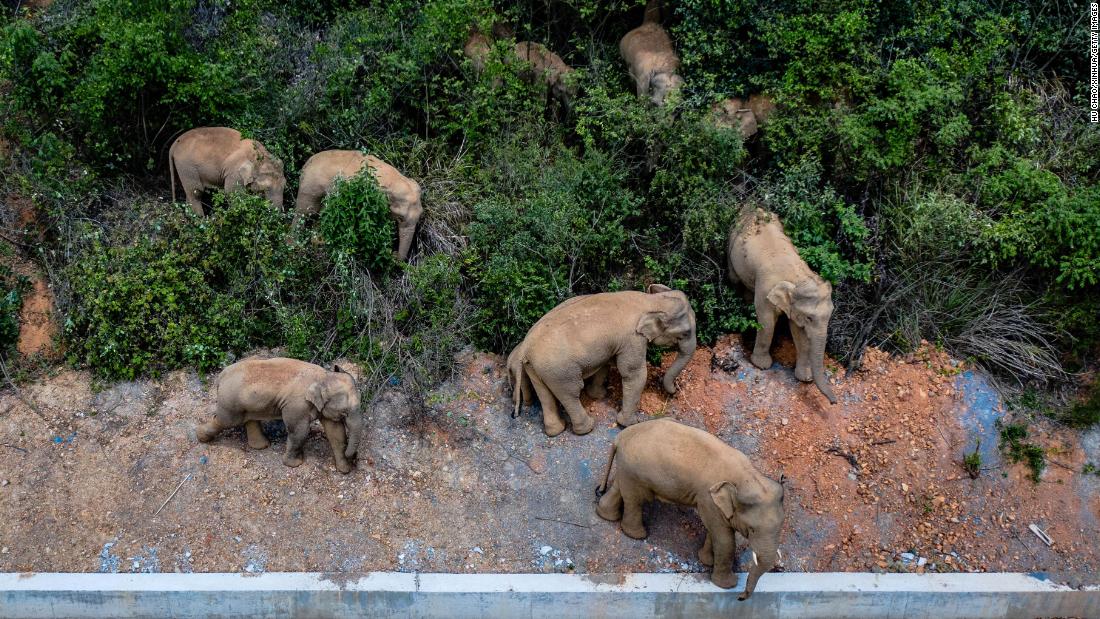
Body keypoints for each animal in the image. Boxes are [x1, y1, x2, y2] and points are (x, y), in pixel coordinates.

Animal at [195, 358, 363, 474]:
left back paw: (262, 446)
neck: (323, 376)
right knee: (225, 420)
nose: (354, 458)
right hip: (230, 401)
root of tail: (221, 375)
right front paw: (295, 464)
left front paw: (344, 470)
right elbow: (300, 431)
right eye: (345, 412)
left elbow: (336, 432)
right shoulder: (296, 405)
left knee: (249, 419)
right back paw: (201, 437)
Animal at [294, 152, 422, 263]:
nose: (393, 253)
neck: (396, 179)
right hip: (310, 186)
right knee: (303, 213)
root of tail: (306, 163)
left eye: (420, 215)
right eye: (400, 218)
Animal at [506, 283, 695, 435]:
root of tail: (525, 348)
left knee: (545, 394)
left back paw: (555, 431)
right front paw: (630, 423)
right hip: (559, 371)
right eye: (686, 333)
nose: (675, 391)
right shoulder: (632, 339)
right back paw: (587, 428)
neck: (651, 300)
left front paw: (599, 395)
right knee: (571, 393)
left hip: (536, 368)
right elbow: (634, 374)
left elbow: (605, 363)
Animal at [598, 415, 787, 602]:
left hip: (627, 468)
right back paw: (637, 535)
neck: (748, 477)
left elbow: (714, 531)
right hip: (636, 470)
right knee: (635, 499)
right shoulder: (708, 498)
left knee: (620, 488)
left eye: (780, 527)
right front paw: (727, 585)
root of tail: (621, 436)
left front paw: (707, 561)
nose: (740, 597)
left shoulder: (712, 503)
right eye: (752, 529)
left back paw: (606, 515)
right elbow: (724, 539)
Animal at [726, 205, 836, 404]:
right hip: (731, 245)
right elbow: (767, 322)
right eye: (809, 317)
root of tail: (751, 206)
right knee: (735, 280)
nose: (833, 402)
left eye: (830, 314)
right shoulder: (765, 288)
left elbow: (799, 333)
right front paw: (761, 366)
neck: (797, 277)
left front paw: (805, 378)